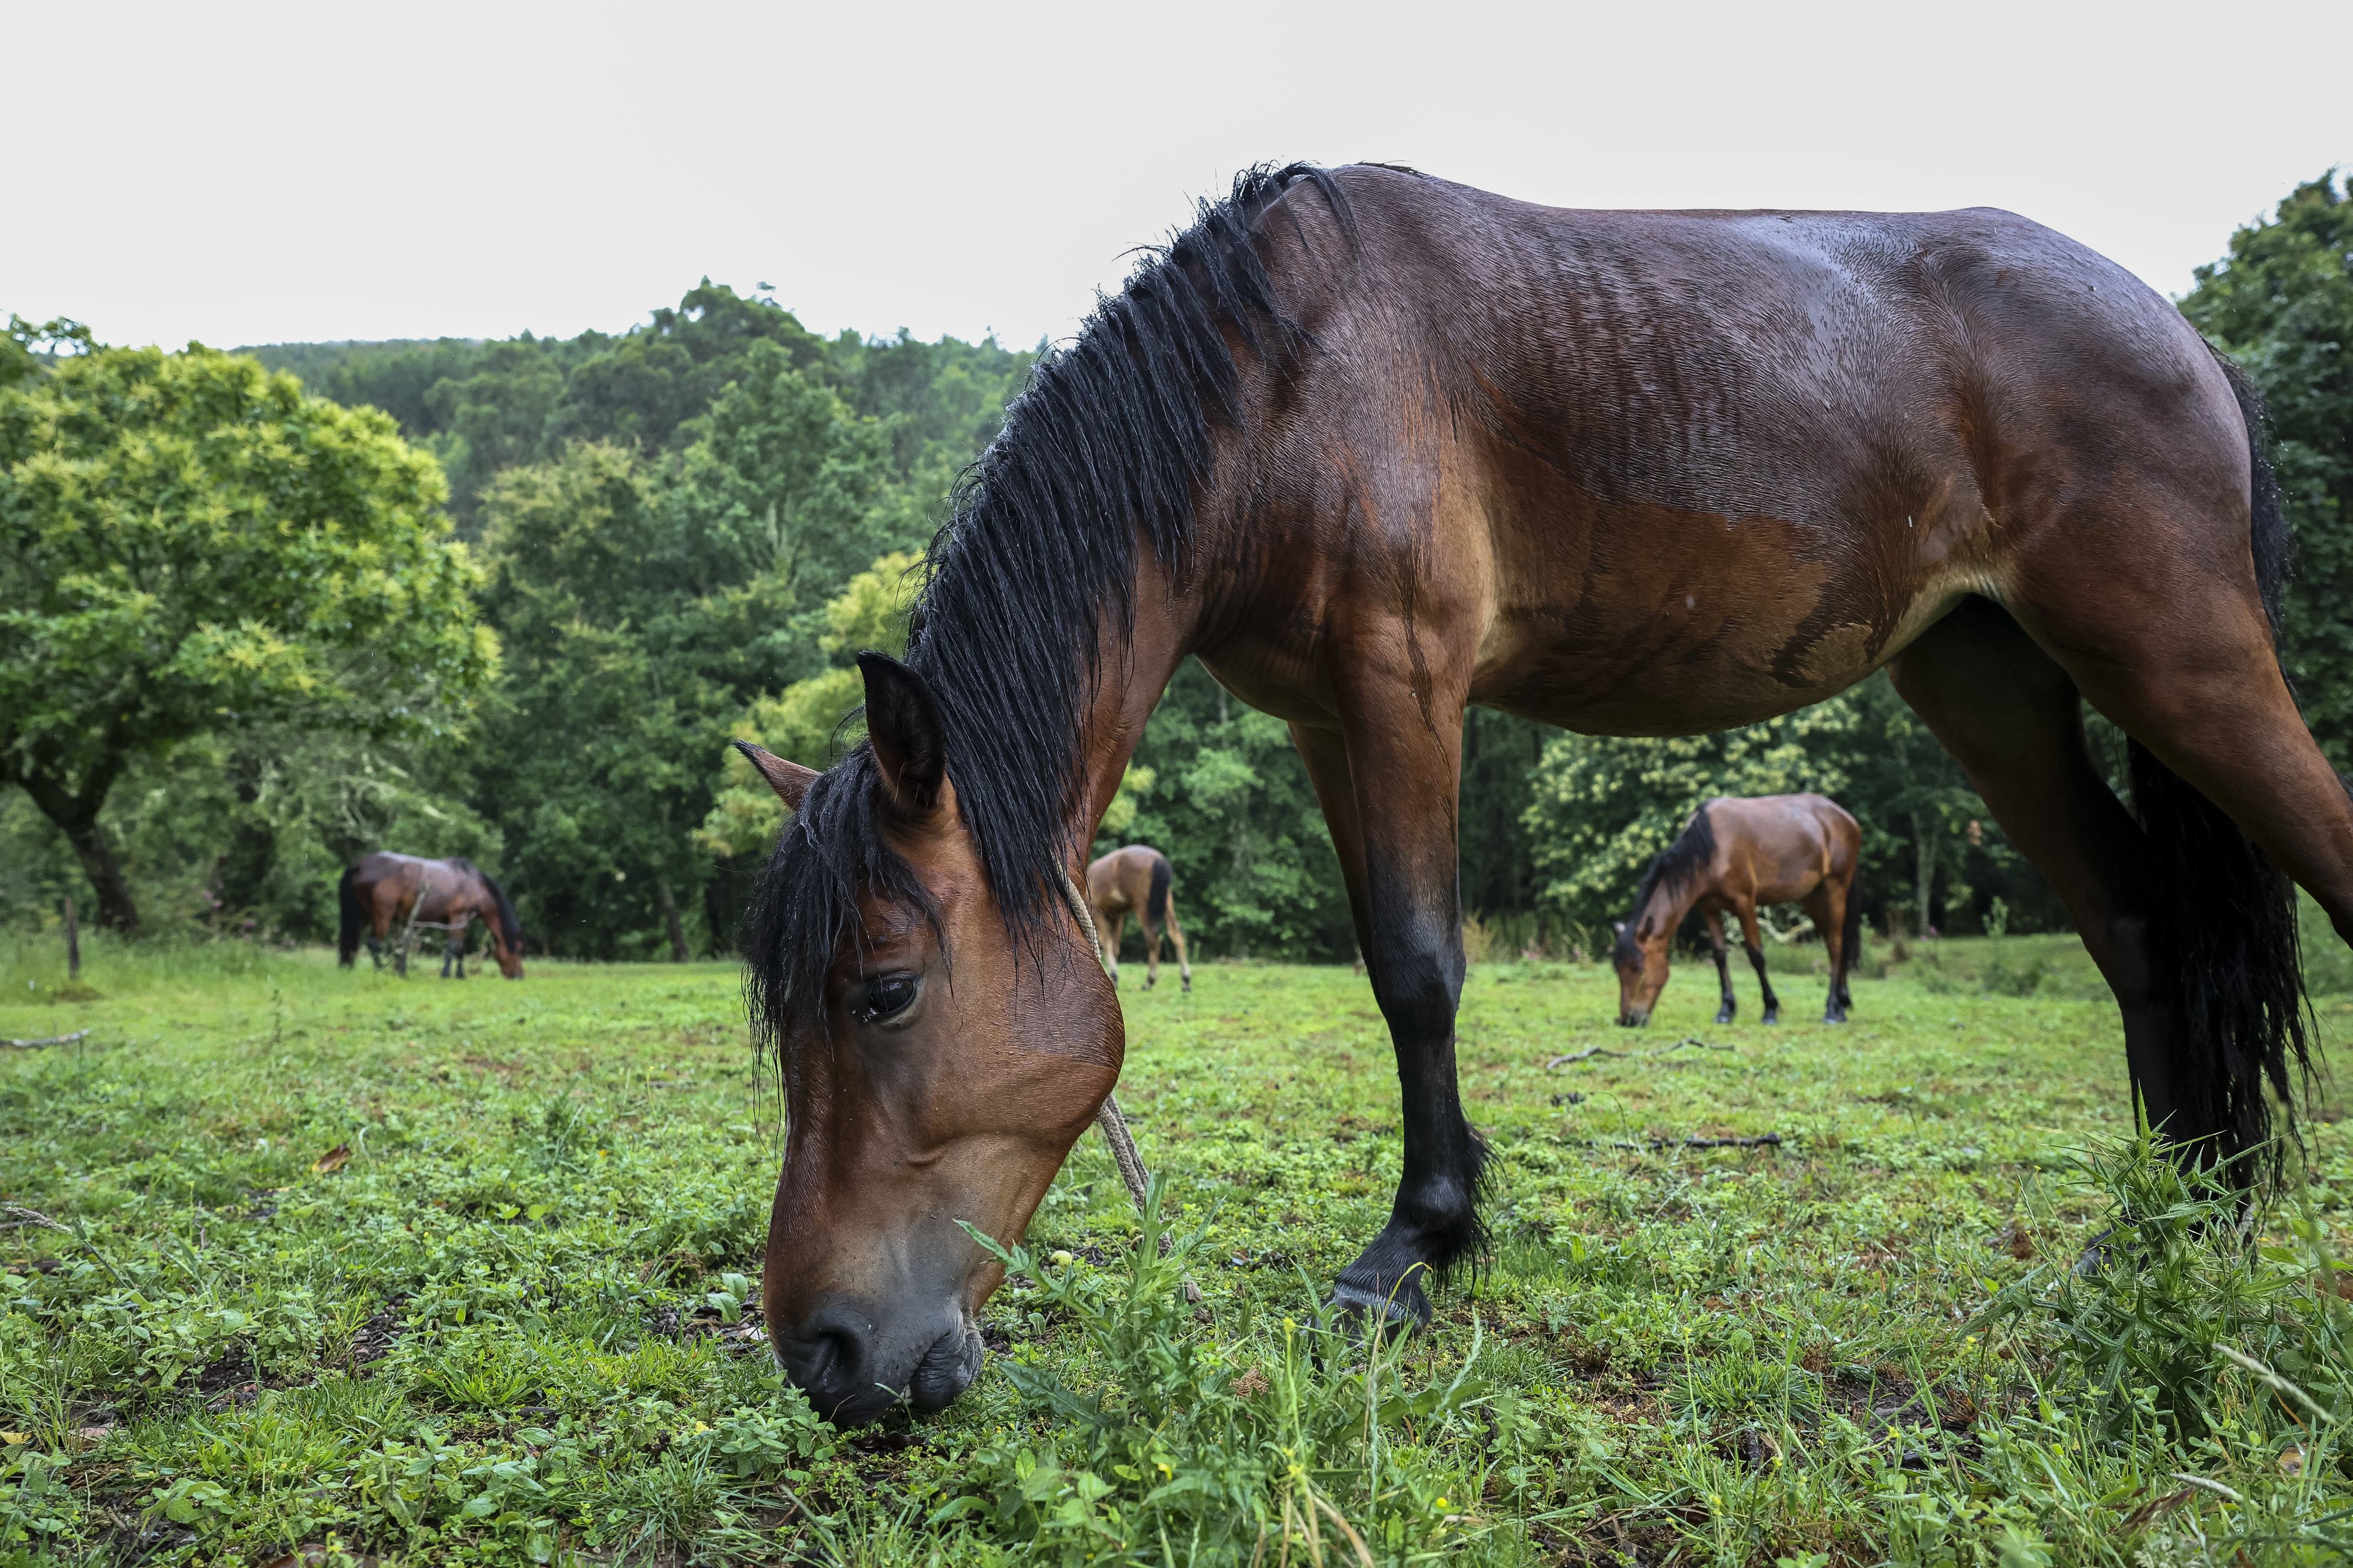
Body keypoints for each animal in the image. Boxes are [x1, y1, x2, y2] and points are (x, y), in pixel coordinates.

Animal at [336, 857, 525, 979]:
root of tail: (359, 866)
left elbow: (460, 949)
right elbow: (455, 947)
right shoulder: (458, 917)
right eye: (518, 949)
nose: (520, 976)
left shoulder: (456, 921)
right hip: (383, 915)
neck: (475, 885)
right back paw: (388, 970)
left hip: (362, 915)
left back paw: (349, 968)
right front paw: (447, 974)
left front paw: (460, 975)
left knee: (352, 941)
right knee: (374, 943)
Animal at [1087, 843, 1195, 989]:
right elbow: (1115, 945)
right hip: (1167, 902)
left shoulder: (1098, 913)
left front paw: (1114, 977)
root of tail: (1158, 859)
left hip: (1143, 906)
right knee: (1176, 934)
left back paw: (1150, 980)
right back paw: (1186, 979)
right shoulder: (1117, 917)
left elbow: (1106, 942)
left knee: (1153, 939)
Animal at [1609, 796, 1864, 1026]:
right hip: (1813, 898)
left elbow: (1756, 955)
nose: (1627, 1020)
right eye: (1617, 969)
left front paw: (1770, 1009)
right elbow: (1720, 956)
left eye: (1638, 967)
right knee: (1836, 942)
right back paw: (1842, 1005)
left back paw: (1832, 1009)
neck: (1711, 848)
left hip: (1835, 889)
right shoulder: (1708, 908)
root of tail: (1845, 817)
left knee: (1836, 945)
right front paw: (1726, 1010)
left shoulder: (1745, 904)